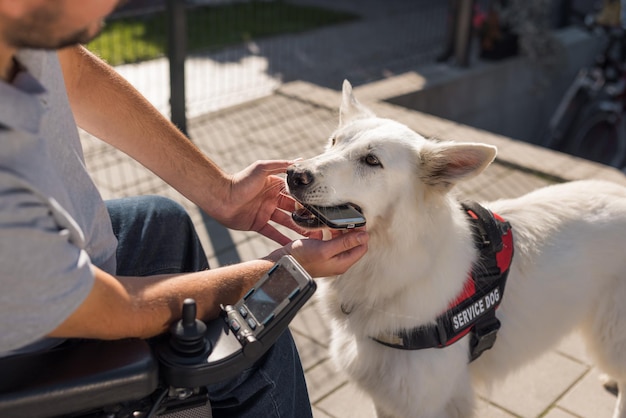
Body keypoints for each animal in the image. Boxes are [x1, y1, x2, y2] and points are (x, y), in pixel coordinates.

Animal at [286, 81, 624, 418]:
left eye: (371, 161)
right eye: (333, 142)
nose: (294, 174)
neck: (398, 261)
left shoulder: (423, 403)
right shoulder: (386, 398)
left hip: (610, 336)